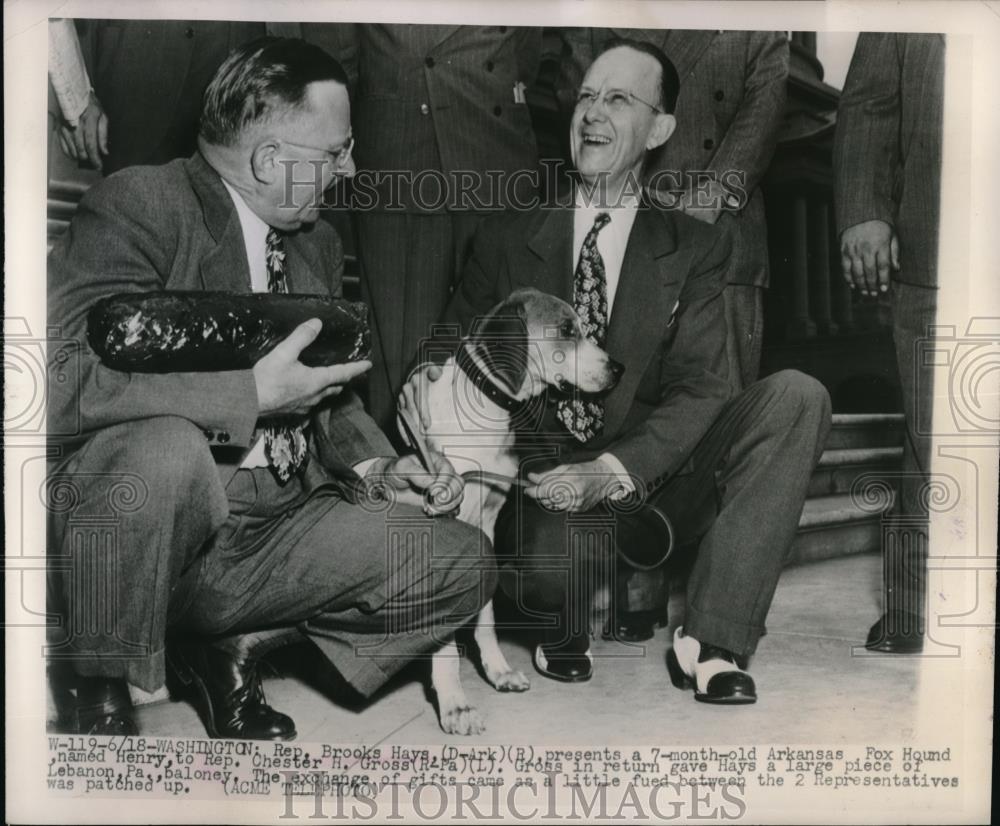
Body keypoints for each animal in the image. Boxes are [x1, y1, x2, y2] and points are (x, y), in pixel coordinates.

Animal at [394, 286, 620, 732]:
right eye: (566, 330)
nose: (617, 369)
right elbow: (446, 642)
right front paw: (455, 705)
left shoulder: (488, 524)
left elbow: (486, 618)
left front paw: (497, 671)